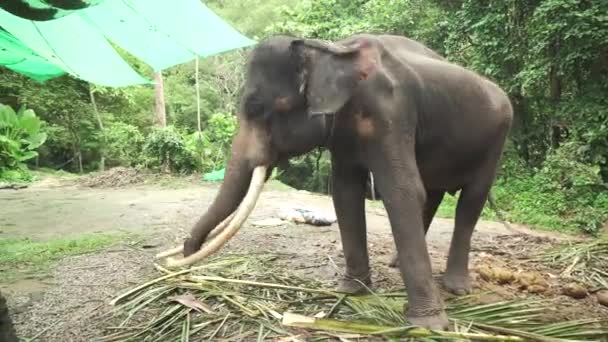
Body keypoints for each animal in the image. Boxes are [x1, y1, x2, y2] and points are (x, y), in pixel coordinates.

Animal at [158, 33, 512, 330]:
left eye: (258, 108)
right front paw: (351, 290)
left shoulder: (390, 113)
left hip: (496, 141)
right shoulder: (342, 133)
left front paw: (428, 325)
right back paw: (397, 264)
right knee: (435, 192)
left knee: (471, 201)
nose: (182, 262)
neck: (329, 48)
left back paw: (457, 287)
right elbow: (345, 193)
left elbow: (402, 190)